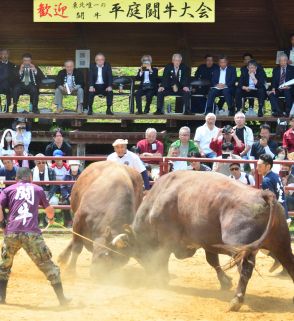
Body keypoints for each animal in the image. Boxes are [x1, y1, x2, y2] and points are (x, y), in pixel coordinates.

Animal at [113, 171, 294, 312]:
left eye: (137, 254)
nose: (150, 273)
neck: (156, 202)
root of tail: (262, 194)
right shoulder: (208, 242)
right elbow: (212, 261)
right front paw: (225, 281)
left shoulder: (166, 241)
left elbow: (163, 259)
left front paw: (163, 279)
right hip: (282, 244)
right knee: (289, 263)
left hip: (241, 249)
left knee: (245, 270)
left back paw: (236, 300)